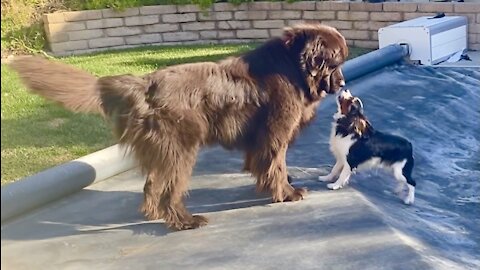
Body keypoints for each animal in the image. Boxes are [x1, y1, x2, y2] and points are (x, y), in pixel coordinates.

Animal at [11, 23, 346, 230]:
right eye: (334, 63)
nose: (343, 83)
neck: (292, 67)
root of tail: (143, 84)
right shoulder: (275, 132)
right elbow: (275, 163)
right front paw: (286, 193)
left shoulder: (259, 138)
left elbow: (263, 164)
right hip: (180, 148)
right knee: (168, 189)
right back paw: (184, 221)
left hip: (164, 150)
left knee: (152, 185)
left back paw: (156, 214)